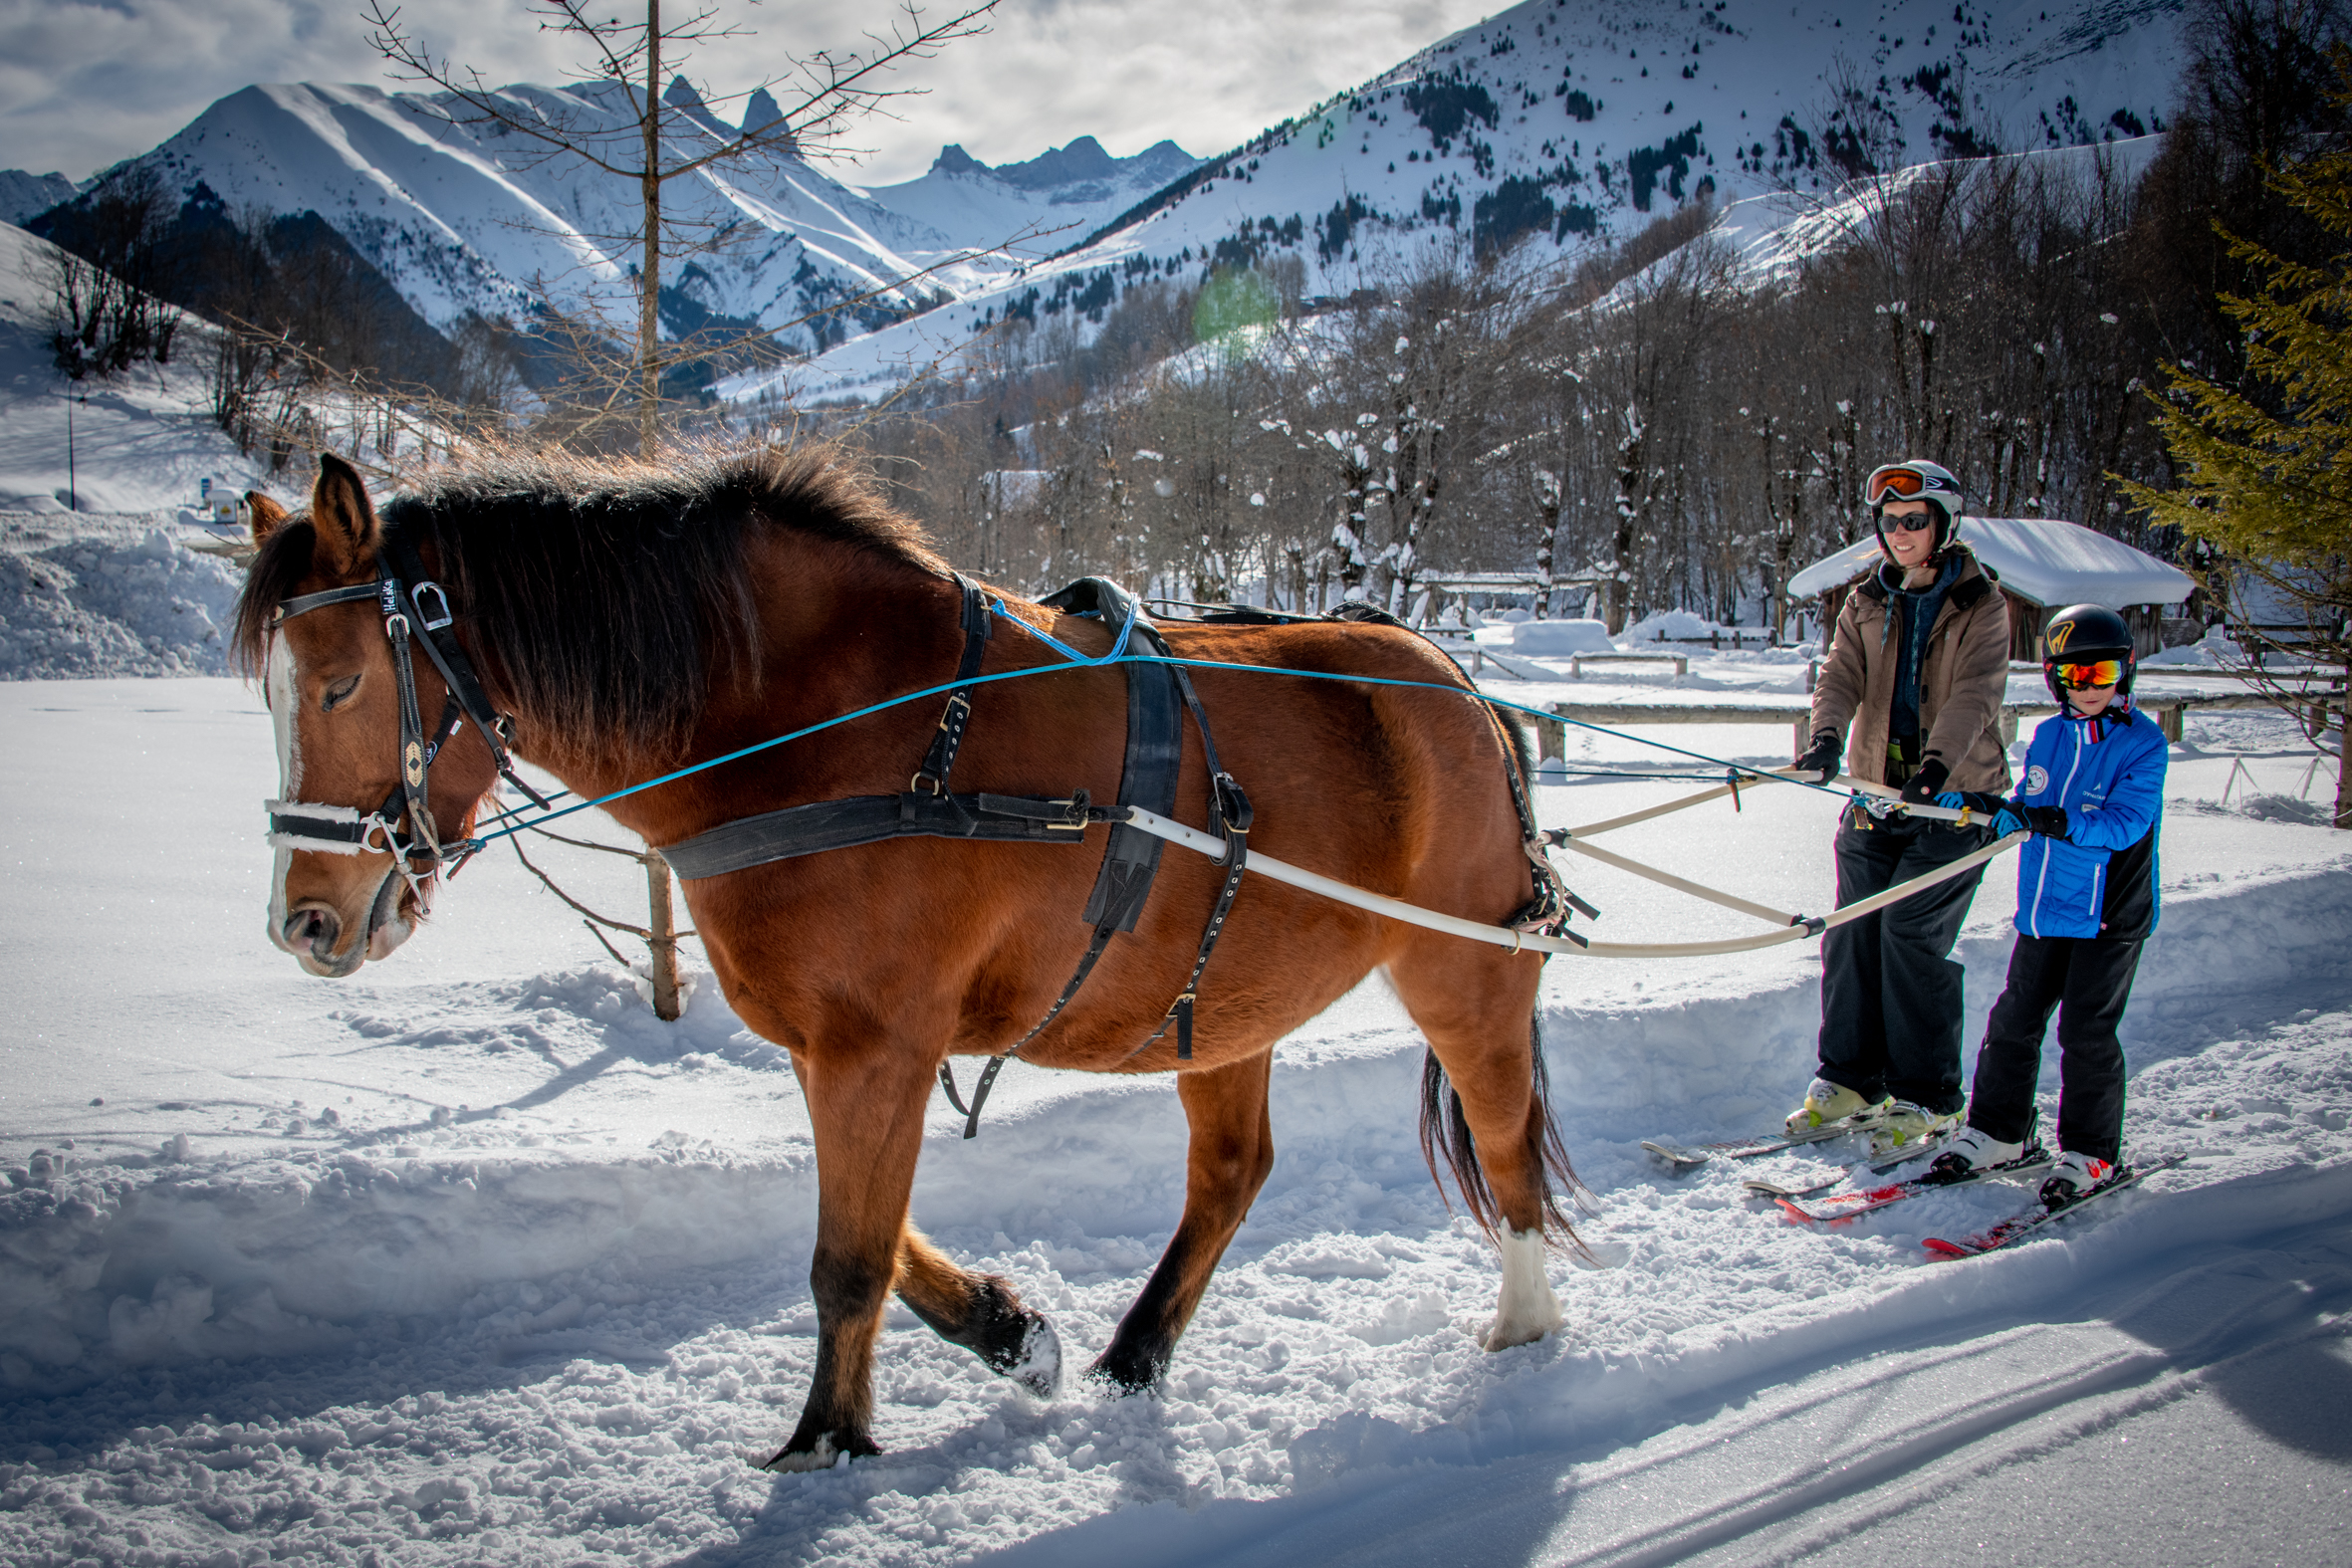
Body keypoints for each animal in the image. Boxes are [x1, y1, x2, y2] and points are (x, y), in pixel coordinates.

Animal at [232, 445, 1585, 1471]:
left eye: (344, 682)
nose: (305, 922)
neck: (827, 725)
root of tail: (1458, 681)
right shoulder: (825, 1045)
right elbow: (887, 1245)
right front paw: (1005, 1330)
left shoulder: (875, 1045)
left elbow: (847, 1262)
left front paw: (825, 1438)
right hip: (1216, 1001)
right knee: (1231, 1174)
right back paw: (1135, 1353)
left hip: (1463, 973)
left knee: (1504, 1140)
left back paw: (1523, 1325)